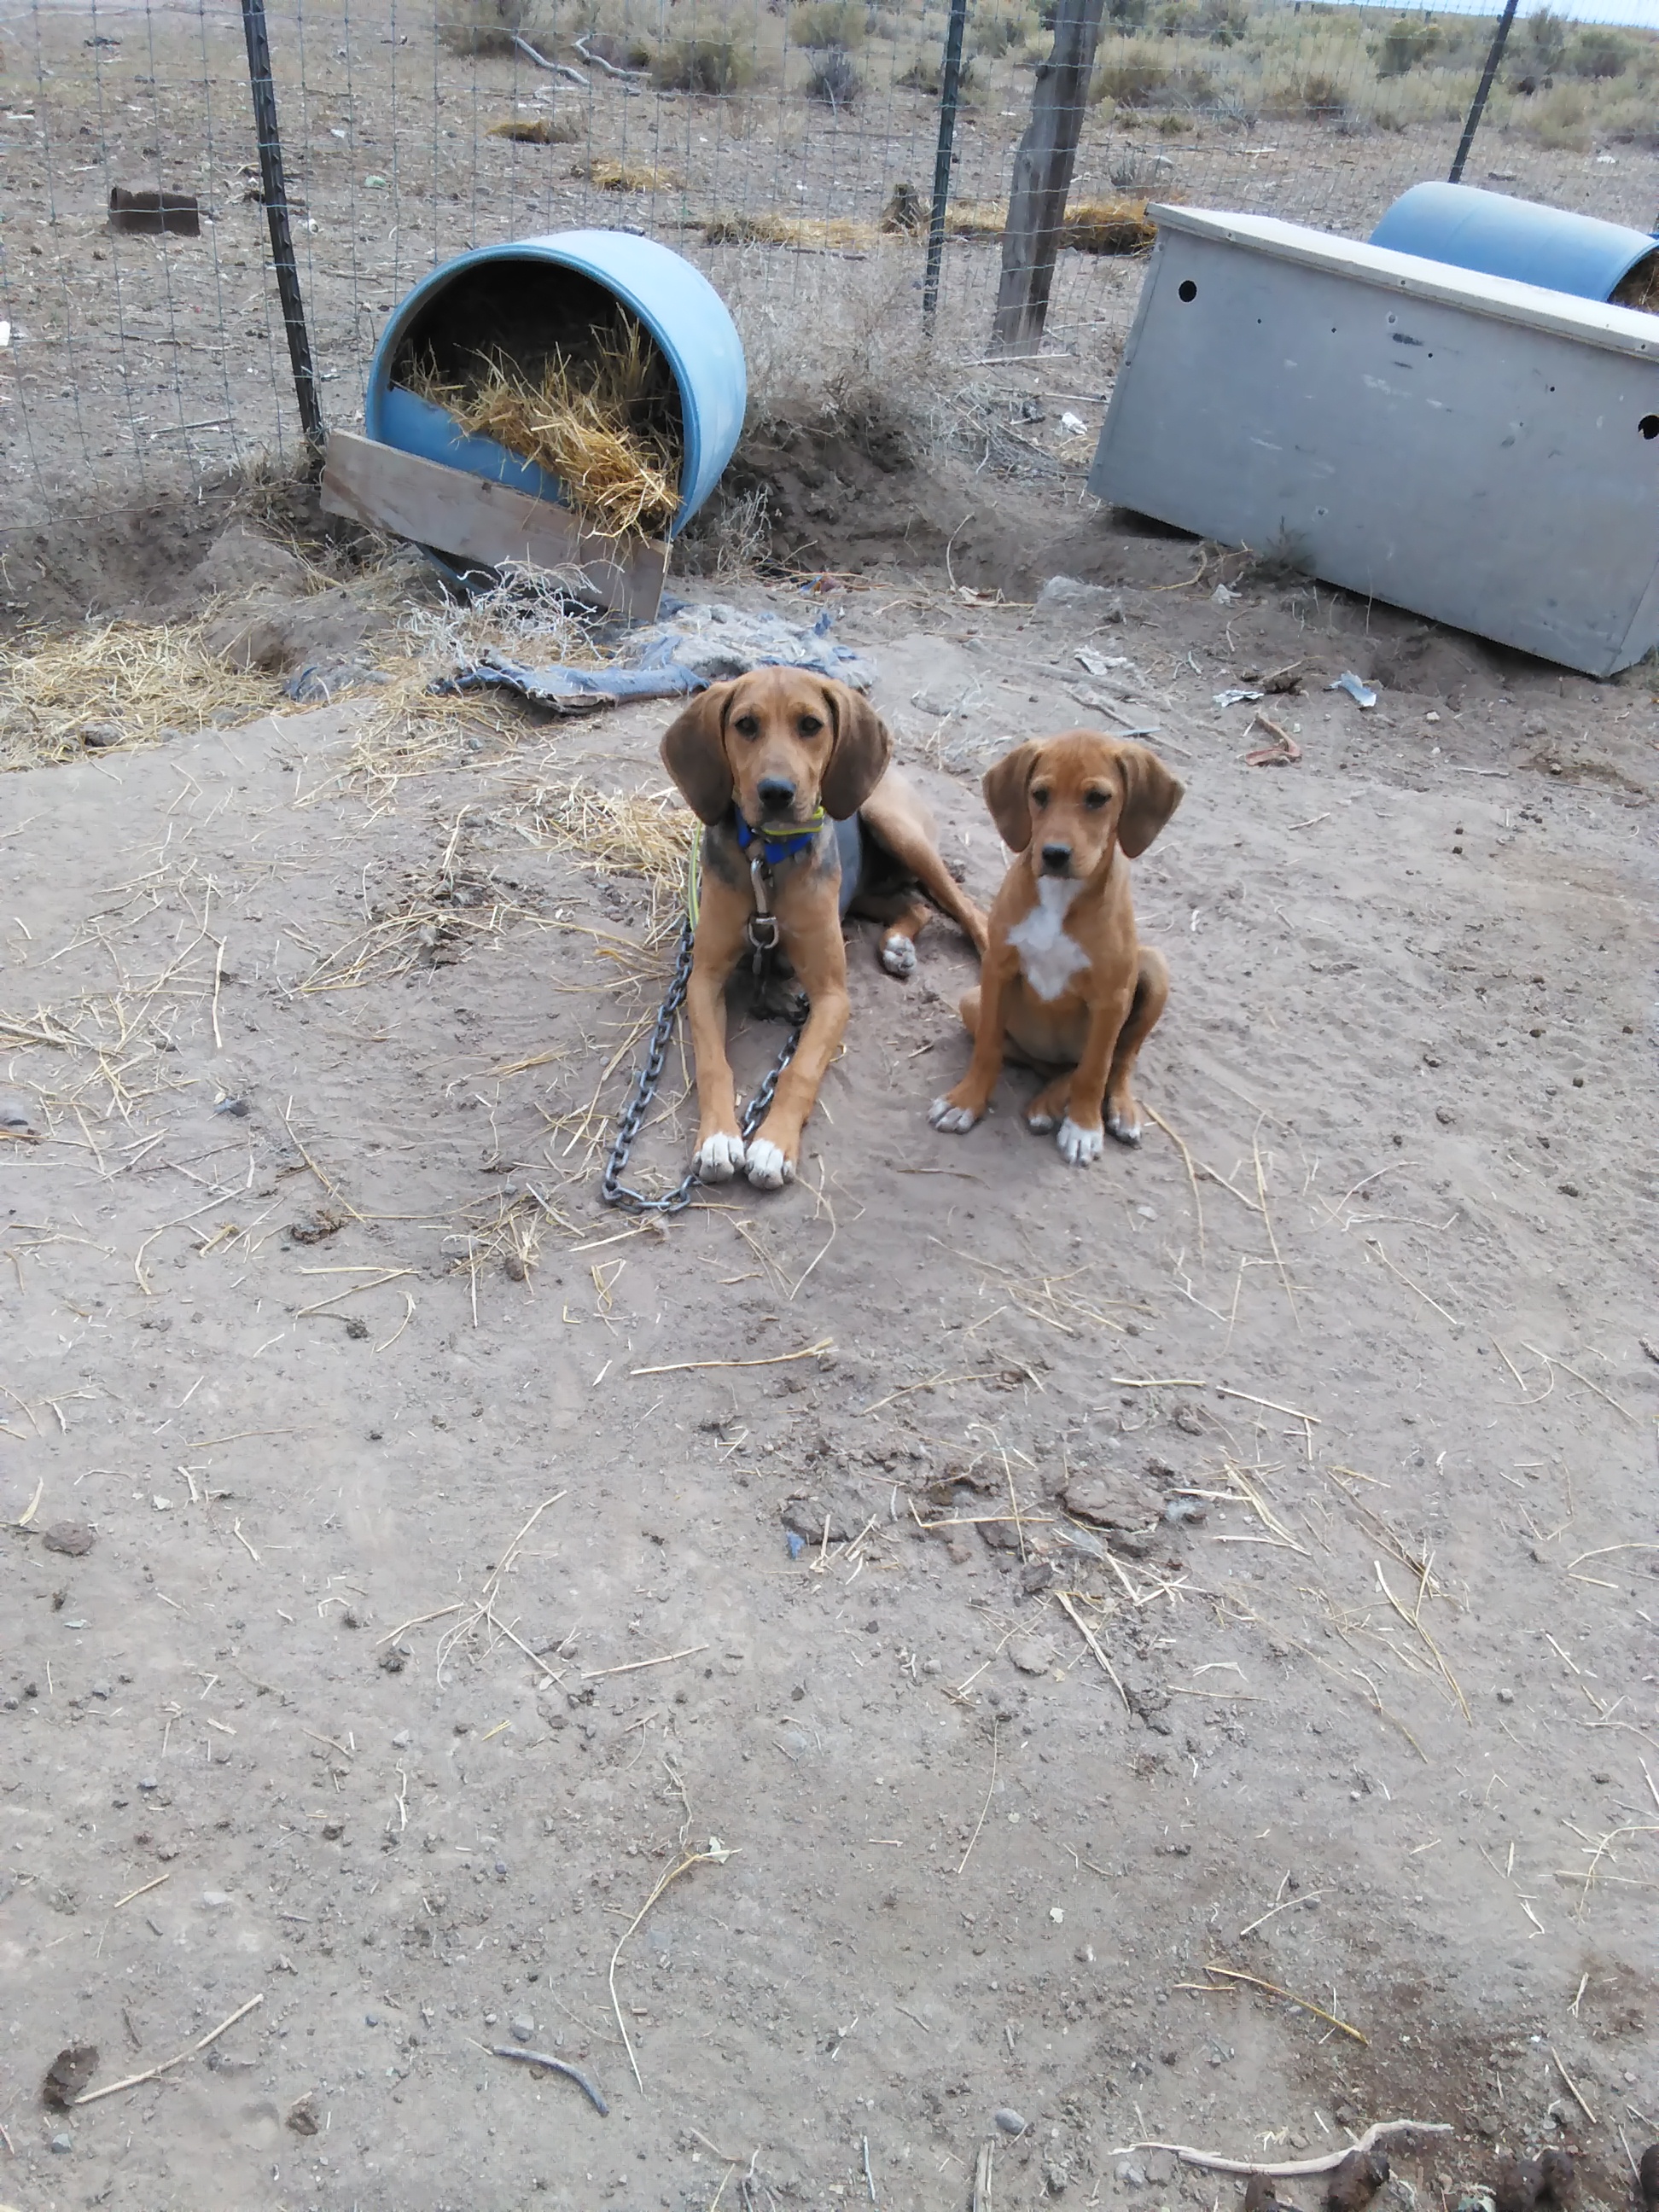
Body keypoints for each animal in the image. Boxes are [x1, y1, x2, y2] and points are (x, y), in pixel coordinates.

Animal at [660, 667, 987, 1190]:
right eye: (745, 725)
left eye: (810, 725)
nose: (776, 792)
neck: (768, 864)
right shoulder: (703, 978)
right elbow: (714, 1064)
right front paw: (717, 1139)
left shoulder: (833, 995)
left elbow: (801, 1070)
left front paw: (772, 1146)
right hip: (863, 886)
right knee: (915, 905)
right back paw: (896, 945)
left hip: (894, 826)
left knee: (966, 908)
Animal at [928, 730, 1183, 1164]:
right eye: (1039, 795)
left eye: (1098, 798)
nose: (1054, 855)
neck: (1059, 898)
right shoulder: (997, 970)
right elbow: (987, 1048)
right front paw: (967, 1102)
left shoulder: (1112, 1000)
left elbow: (1096, 1069)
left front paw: (1083, 1128)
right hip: (972, 1002)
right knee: (1053, 1066)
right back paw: (1046, 1102)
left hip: (1155, 969)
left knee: (1118, 1059)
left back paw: (1117, 1110)